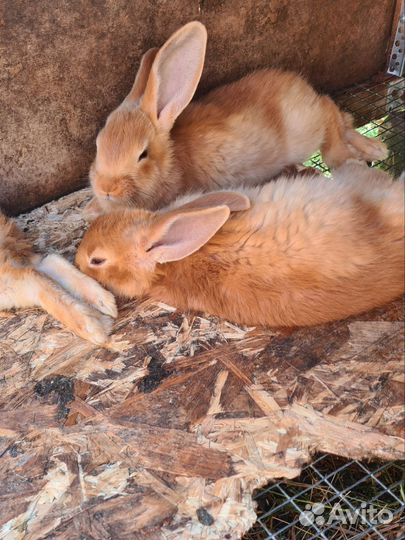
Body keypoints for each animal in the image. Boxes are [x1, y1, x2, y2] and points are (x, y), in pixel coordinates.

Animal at [86, 22, 388, 217]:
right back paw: (374, 148)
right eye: (98, 145)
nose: (106, 189)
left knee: (329, 113)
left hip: (305, 129)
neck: (173, 159)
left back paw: (362, 151)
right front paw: (93, 207)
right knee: (339, 116)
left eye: (142, 154)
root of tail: (302, 88)